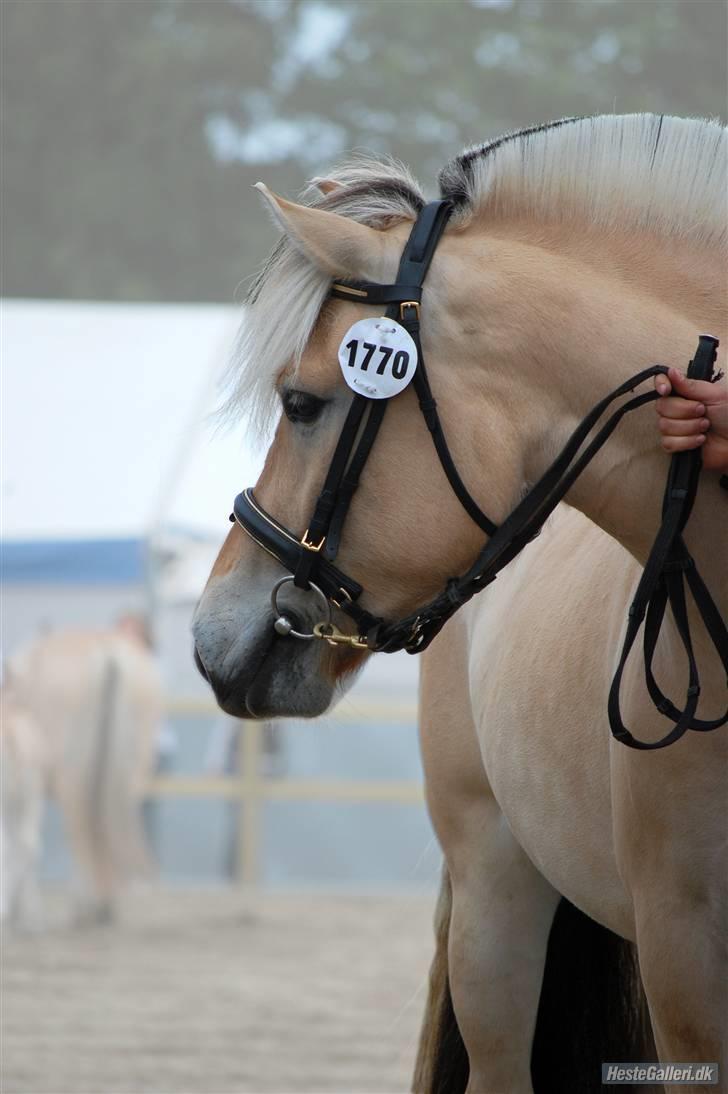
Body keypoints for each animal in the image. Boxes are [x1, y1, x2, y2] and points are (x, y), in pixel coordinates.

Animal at [2, 621, 162, 927]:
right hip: (130, 774)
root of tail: (107, 651)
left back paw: (87, 907)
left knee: (81, 829)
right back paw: (103, 905)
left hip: (71, 777)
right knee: (101, 825)